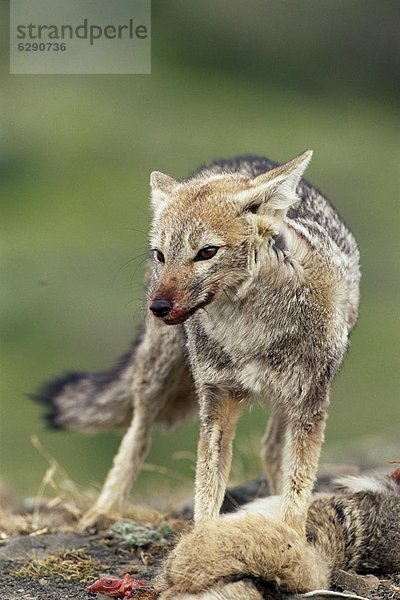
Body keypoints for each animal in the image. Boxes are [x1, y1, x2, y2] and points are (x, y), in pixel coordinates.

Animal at [32, 154, 360, 528]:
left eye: (207, 252)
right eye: (161, 255)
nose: (158, 308)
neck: (249, 331)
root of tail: (239, 159)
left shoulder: (308, 405)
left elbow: (297, 489)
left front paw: (289, 532)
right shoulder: (217, 402)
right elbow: (206, 490)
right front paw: (202, 537)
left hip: (288, 400)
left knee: (271, 448)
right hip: (156, 374)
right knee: (136, 435)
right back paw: (106, 509)